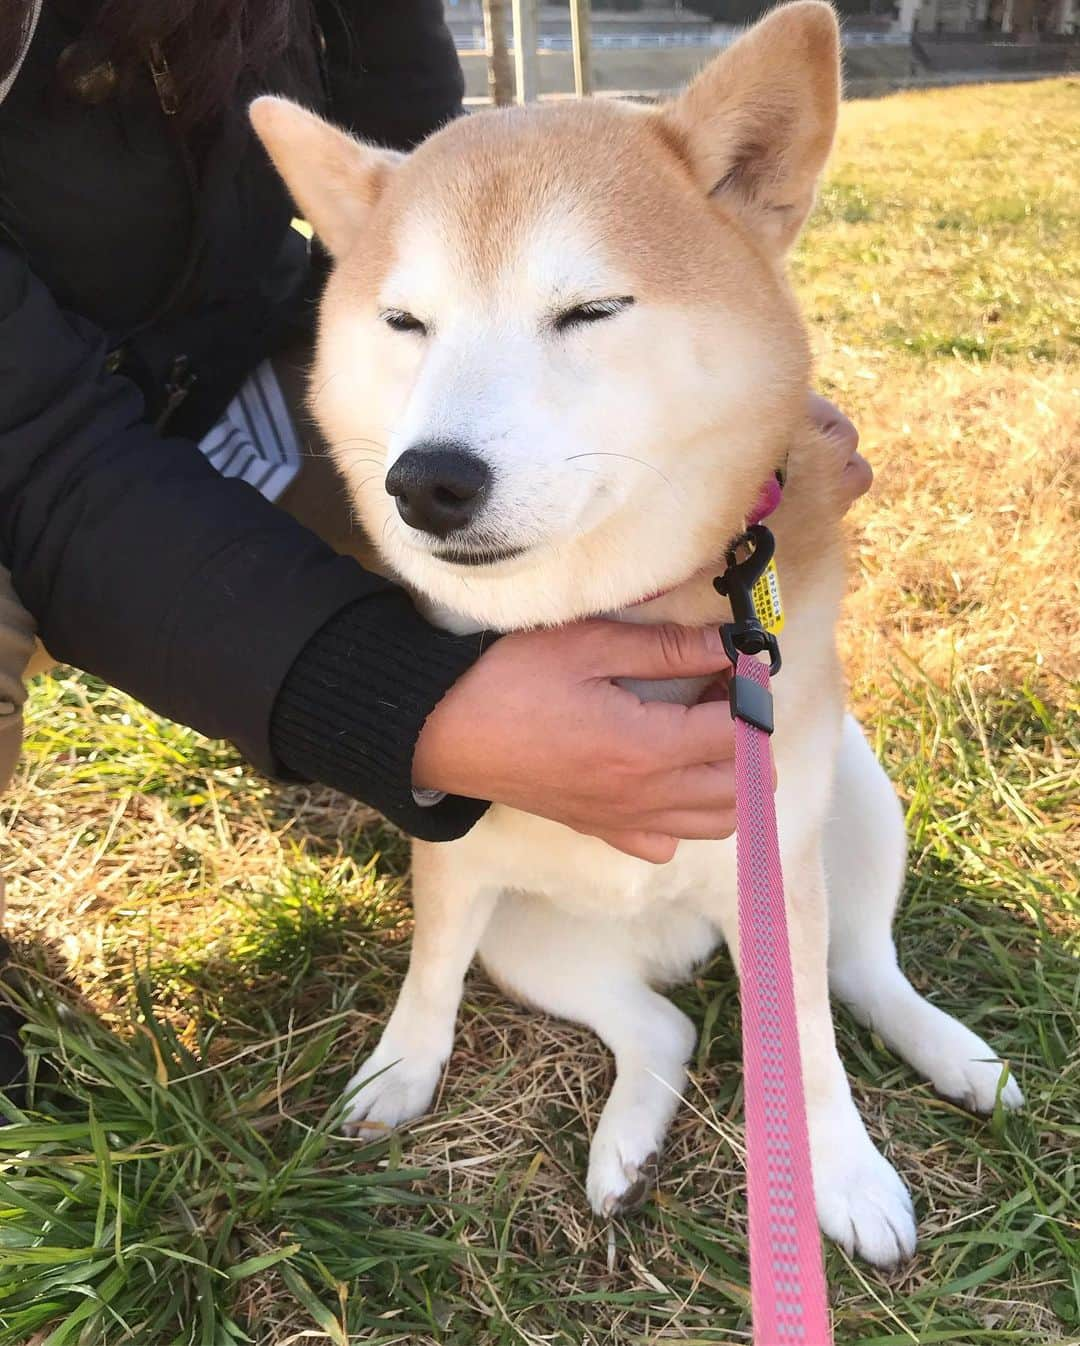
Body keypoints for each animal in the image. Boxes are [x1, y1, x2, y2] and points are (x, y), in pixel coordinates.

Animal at [253, 0, 1018, 1265]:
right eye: (404, 321)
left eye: (590, 311)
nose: (427, 483)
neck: (611, 602)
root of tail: (673, 940)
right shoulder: (450, 846)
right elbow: (429, 972)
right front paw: (399, 1071)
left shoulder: (782, 850)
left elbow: (806, 1041)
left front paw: (843, 1171)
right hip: (534, 935)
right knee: (660, 1026)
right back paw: (626, 1147)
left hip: (848, 805)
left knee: (857, 971)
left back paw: (954, 1053)